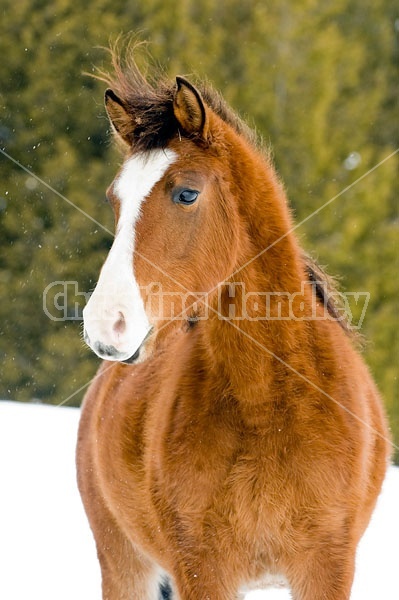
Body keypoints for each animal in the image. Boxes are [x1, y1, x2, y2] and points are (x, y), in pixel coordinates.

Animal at [76, 48, 392, 600]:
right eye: (116, 199)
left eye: (186, 194)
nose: (105, 325)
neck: (269, 405)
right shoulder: (202, 569)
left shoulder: (327, 568)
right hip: (124, 565)